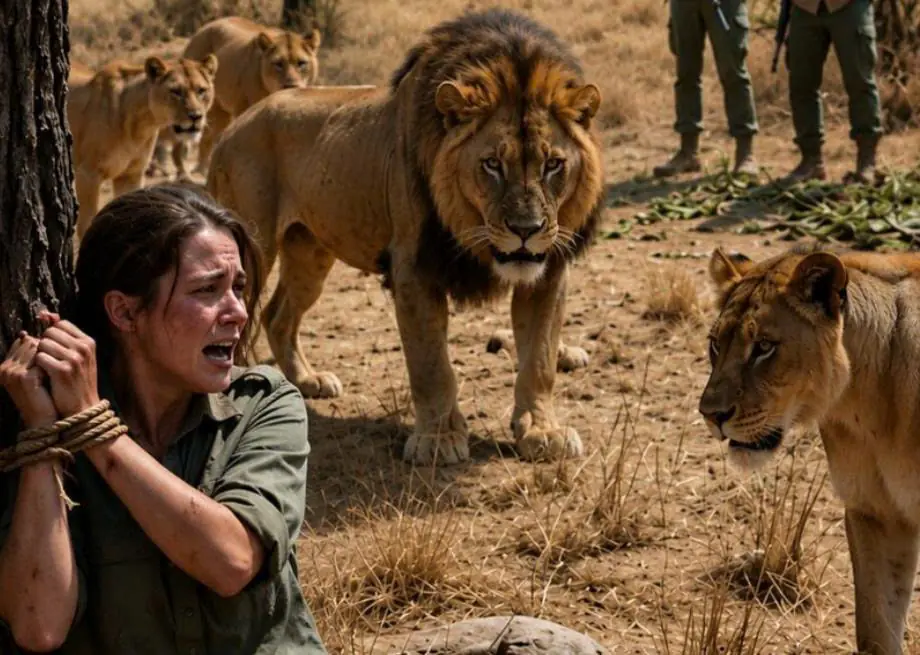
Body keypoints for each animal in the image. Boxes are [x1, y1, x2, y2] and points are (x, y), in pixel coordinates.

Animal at [68, 55, 217, 238]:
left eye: (201, 90)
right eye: (175, 91)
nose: (196, 116)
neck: (142, 124)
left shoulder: (131, 175)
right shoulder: (88, 175)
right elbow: (87, 223)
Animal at [147, 17, 322, 181]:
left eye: (301, 63)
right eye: (278, 64)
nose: (291, 85)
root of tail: (207, 26)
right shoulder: (244, 109)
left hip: (221, 114)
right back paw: (190, 173)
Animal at [207, 9, 604, 466]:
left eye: (554, 164)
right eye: (491, 164)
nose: (526, 230)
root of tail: (232, 127)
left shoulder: (549, 270)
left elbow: (539, 359)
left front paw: (543, 430)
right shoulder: (414, 267)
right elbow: (431, 364)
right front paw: (438, 439)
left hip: (310, 253)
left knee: (278, 315)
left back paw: (307, 380)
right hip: (251, 249)